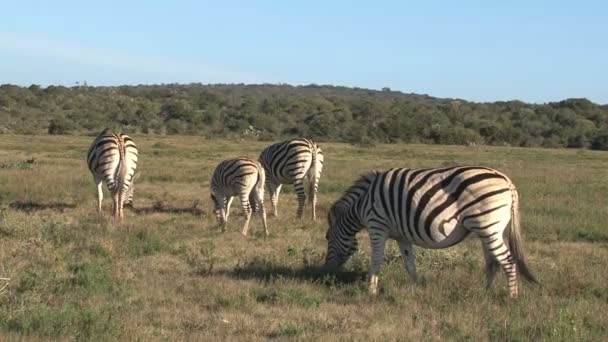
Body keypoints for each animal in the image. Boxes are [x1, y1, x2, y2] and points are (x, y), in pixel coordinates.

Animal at [326, 167, 540, 298]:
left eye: (327, 238)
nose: (326, 272)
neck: (362, 204)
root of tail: (507, 182)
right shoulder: (401, 235)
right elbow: (409, 262)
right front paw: (416, 287)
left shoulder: (377, 225)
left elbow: (376, 259)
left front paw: (371, 291)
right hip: (491, 230)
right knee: (493, 262)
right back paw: (485, 293)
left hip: (488, 226)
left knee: (508, 261)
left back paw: (512, 298)